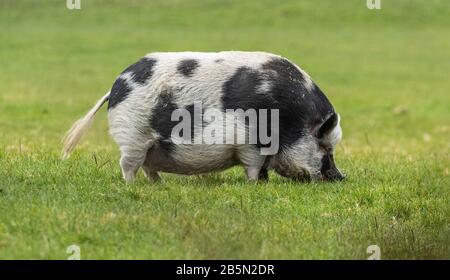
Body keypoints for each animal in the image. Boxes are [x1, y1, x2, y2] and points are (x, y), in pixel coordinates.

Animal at [62, 51, 344, 183]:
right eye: (324, 146)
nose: (341, 177)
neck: (290, 121)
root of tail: (116, 86)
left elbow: (262, 167)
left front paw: (264, 182)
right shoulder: (248, 140)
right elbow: (253, 166)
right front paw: (257, 184)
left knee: (148, 167)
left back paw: (159, 185)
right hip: (133, 135)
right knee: (128, 165)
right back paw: (133, 186)